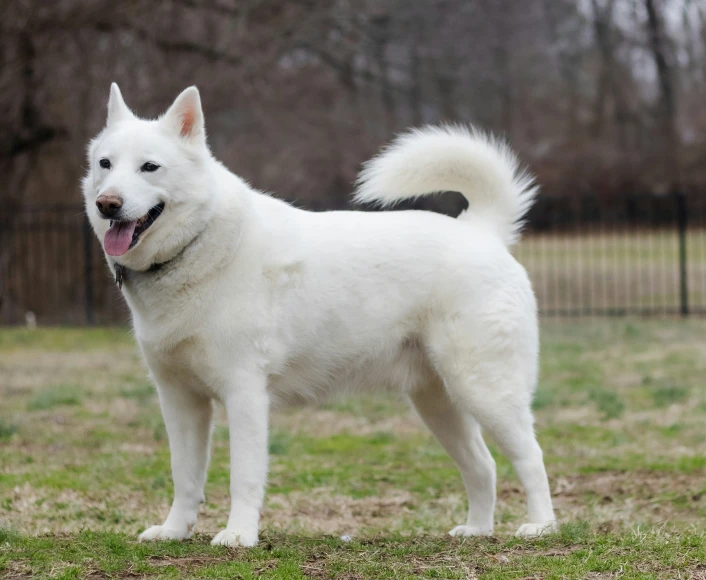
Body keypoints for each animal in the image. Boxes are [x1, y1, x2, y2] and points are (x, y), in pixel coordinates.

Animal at [82, 84, 556, 548]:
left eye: (149, 167)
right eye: (106, 164)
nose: (108, 204)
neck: (196, 245)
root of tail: (481, 231)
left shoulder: (244, 394)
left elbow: (243, 477)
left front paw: (239, 534)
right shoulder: (180, 399)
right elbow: (185, 476)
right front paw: (175, 531)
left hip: (486, 392)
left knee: (532, 458)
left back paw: (540, 527)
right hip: (439, 405)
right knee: (483, 466)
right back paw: (477, 530)